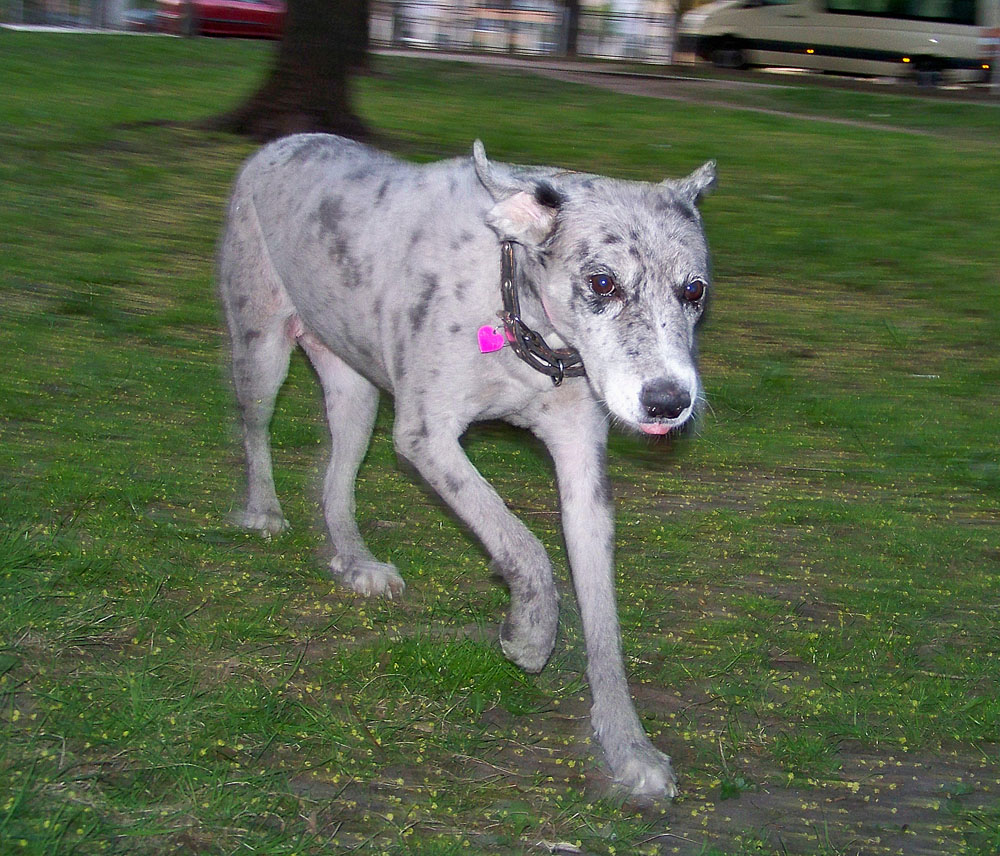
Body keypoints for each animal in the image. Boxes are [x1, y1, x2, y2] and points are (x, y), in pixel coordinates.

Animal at [218, 134, 716, 797]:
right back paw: (262, 510)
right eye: (602, 282)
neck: (520, 321)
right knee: (254, 429)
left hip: (356, 392)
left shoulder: (583, 472)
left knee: (336, 482)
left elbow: (604, 626)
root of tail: (281, 142)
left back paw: (356, 561)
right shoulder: (427, 437)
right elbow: (521, 543)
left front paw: (628, 748)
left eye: (694, 291)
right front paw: (530, 635)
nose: (669, 400)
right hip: (262, 348)